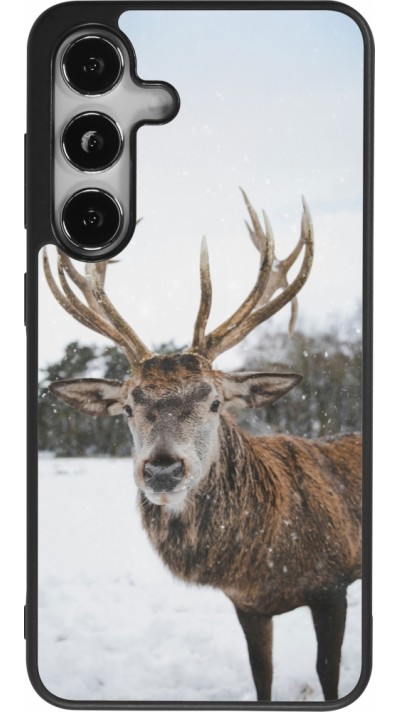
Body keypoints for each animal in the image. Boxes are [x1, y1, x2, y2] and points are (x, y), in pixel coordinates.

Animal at [43, 190, 362, 702]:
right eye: (128, 407)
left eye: (214, 402)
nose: (162, 470)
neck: (264, 560)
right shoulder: (247, 604)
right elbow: (262, 676)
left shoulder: (333, 584)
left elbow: (328, 674)